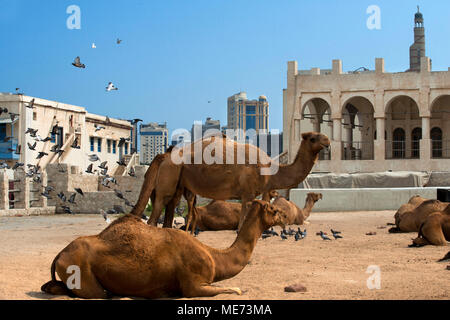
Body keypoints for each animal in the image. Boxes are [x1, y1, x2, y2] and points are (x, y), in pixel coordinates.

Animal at [43, 200, 288, 300]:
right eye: (273, 210)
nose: (286, 216)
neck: (214, 256)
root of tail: (59, 255)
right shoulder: (193, 284)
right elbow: (233, 290)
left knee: (53, 287)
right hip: (81, 272)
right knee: (99, 294)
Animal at [130, 131, 330, 231]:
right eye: (313, 138)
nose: (327, 141)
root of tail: (164, 156)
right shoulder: (248, 193)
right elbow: (241, 224)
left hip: (178, 178)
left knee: (171, 205)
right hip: (170, 173)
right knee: (158, 207)